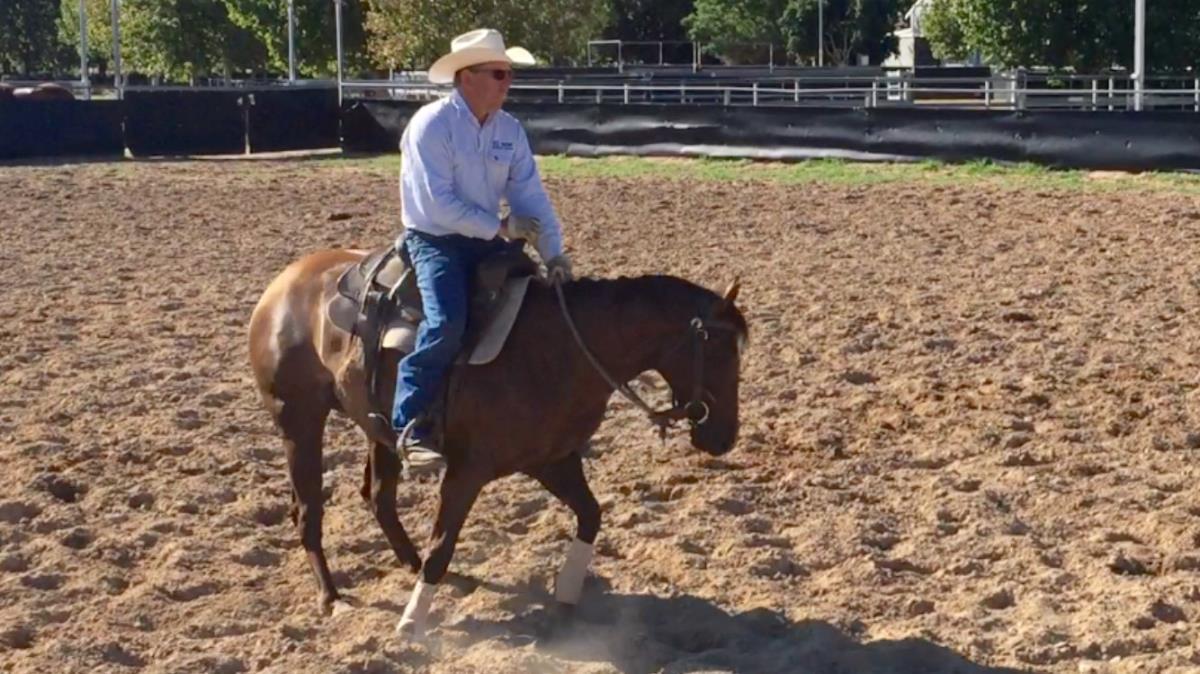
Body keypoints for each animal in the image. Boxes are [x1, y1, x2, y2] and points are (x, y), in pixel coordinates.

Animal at [248, 248, 748, 635]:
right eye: (720, 350)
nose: (725, 438)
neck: (560, 348)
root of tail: (285, 282)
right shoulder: (466, 472)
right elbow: (442, 546)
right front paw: (411, 623)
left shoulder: (553, 460)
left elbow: (590, 515)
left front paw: (566, 598)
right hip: (299, 421)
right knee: (309, 511)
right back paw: (332, 597)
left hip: (376, 428)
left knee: (379, 499)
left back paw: (412, 568)